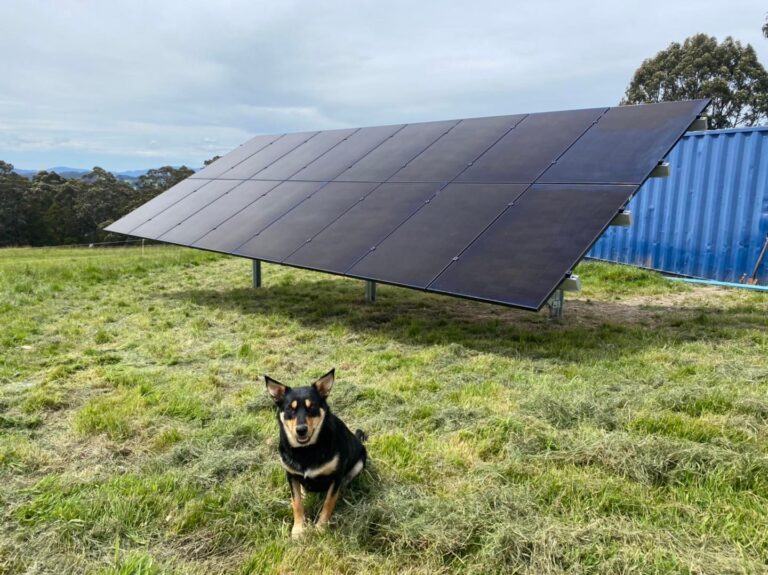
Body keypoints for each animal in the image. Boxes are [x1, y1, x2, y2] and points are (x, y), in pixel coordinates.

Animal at [266, 372, 368, 536]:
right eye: (290, 409)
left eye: (312, 407)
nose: (301, 430)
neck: (306, 450)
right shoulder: (290, 474)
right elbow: (296, 503)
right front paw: (298, 530)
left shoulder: (336, 475)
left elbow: (328, 502)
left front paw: (320, 527)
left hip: (360, 462)